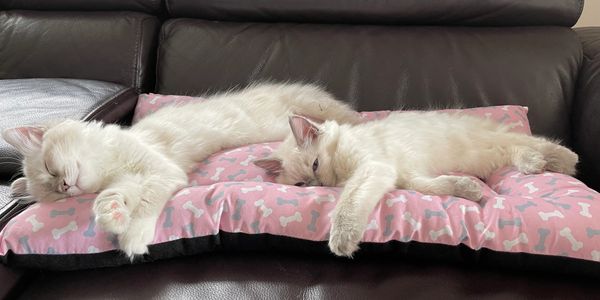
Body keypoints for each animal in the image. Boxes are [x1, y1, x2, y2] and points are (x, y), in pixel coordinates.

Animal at [2, 82, 360, 258]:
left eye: (49, 168)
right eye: (54, 193)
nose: (64, 187)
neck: (109, 164)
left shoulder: (160, 171)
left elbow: (146, 205)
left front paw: (133, 238)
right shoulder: (129, 179)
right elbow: (115, 196)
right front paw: (113, 215)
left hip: (318, 108)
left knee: (352, 117)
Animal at [255, 111, 580, 256]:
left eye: (315, 165)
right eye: (301, 185)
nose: (319, 183)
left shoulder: (372, 168)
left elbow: (347, 204)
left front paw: (341, 241)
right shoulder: (403, 175)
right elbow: (433, 187)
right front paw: (470, 190)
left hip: (483, 144)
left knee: (531, 142)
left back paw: (561, 159)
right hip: (482, 156)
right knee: (513, 149)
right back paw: (537, 163)